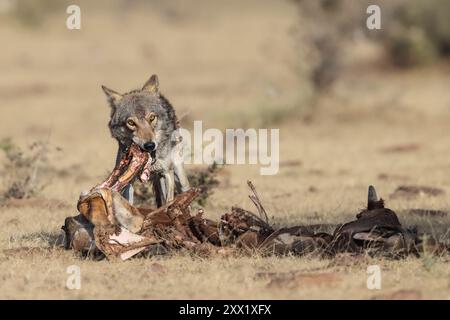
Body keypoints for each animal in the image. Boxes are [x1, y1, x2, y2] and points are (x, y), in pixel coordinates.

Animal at [101, 74, 190, 206]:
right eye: (131, 122)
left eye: (152, 117)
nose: (149, 145)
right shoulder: (128, 179)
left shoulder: (166, 173)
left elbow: (168, 201)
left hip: (179, 177)